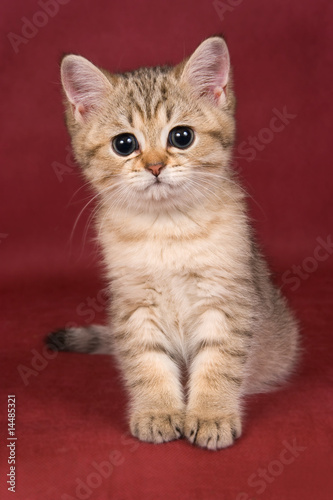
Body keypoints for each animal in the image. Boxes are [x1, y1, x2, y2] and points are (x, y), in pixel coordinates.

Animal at [48, 35, 300, 450]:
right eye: (124, 144)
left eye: (181, 137)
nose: (154, 166)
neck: (166, 227)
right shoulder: (135, 304)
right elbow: (147, 363)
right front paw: (157, 411)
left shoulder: (224, 300)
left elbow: (217, 364)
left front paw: (211, 415)